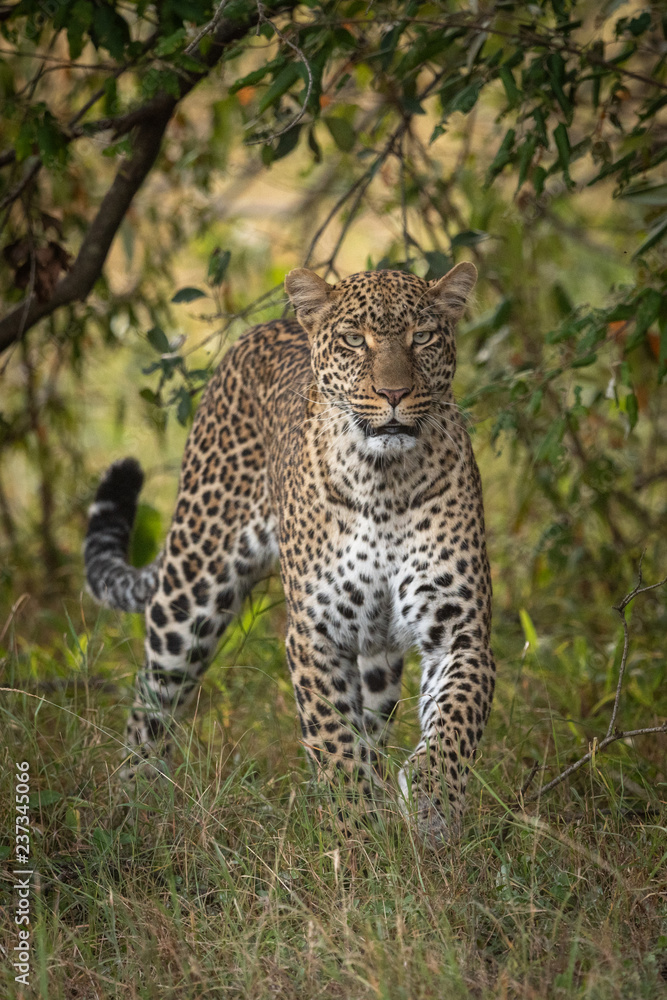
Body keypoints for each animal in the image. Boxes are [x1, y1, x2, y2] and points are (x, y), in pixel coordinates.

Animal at [84, 262, 495, 843]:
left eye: (423, 337)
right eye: (354, 340)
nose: (394, 392)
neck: (385, 480)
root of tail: (264, 328)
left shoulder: (460, 629)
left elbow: (453, 726)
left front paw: (429, 803)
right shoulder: (315, 631)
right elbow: (334, 743)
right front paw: (354, 835)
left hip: (376, 654)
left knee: (372, 719)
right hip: (191, 585)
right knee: (153, 694)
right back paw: (130, 803)